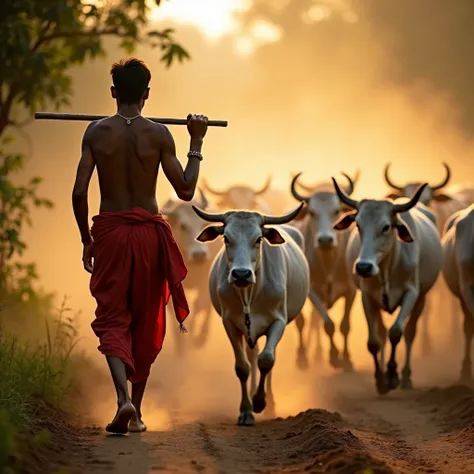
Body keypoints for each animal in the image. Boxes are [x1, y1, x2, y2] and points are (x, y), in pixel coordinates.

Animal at [193, 204, 312, 426]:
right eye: (226, 238)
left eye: (258, 239)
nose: (241, 274)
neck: (249, 294)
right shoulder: (230, 323)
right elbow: (243, 367)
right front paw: (246, 411)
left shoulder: (278, 322)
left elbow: (267, 360)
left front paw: (259, 402)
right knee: (252, 355)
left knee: (266, 357)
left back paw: (269, 400)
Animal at [288, 170, 360, 370]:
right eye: (312, 212)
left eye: (336, 211)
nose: (325, 240)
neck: (329, 263)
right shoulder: (312, 292)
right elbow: (328, 324)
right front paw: (334, 356)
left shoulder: (351, 291)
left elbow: (345, 325)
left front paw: (347, 359)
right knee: (302, 322)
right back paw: (303, 356)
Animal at [334, 180, 444, 394]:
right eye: (358, 225)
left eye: (386, 227)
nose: (363, 267)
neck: (387, 267)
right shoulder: (367, 296)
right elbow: (374, 342)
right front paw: (381, 379)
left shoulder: (412, 293)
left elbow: (396, 332)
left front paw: (393, 374)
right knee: (383, 333)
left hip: (422, 298)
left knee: (409, 333)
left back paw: (406, 377)